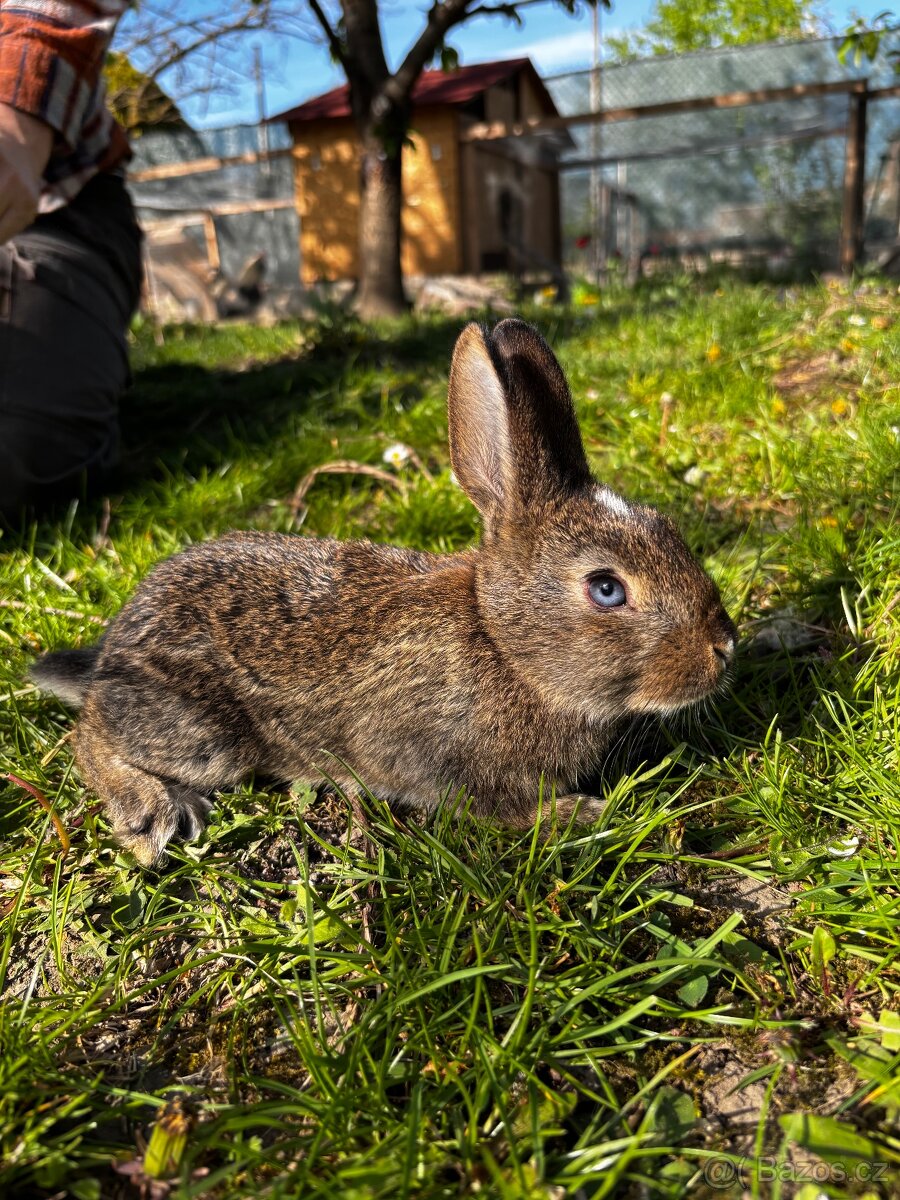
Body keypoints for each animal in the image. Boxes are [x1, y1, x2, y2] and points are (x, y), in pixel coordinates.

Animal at [29, 319, 736, 866]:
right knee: (89, 736)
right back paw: (152, 812)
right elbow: (500, 805)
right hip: (204, 733)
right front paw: (584, 814)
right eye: (607, 588)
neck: (504, 647)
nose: (724, 647)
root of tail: (111, 654)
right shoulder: (447, 762)